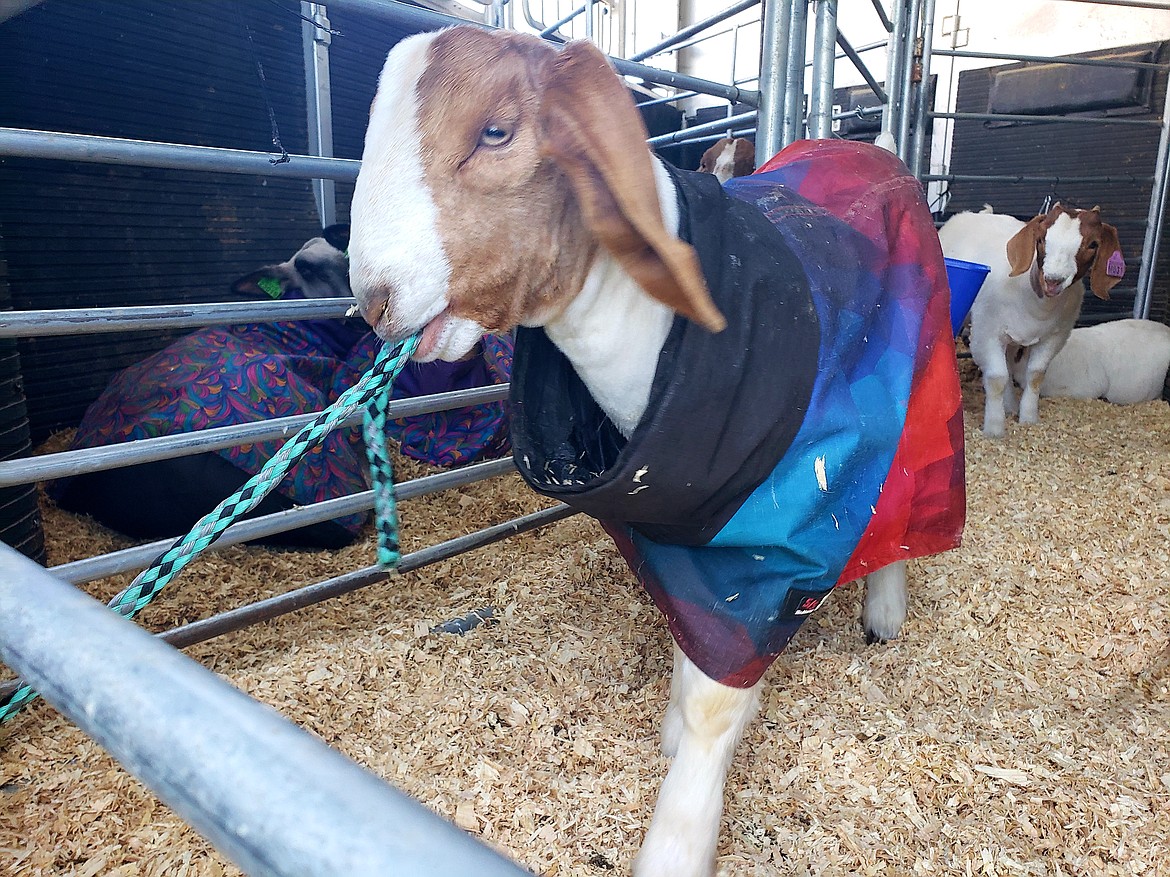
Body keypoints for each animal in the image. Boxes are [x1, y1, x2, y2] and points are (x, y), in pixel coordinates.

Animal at [931, 205, 1123, 439]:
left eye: (1093, 244)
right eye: (1041, 239)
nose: (1053, 280)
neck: (1036, 302)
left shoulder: (1054, 337)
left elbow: (1035, 375)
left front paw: (1028, 418)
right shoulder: (987, 332)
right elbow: (996, 378)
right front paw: (994, 429)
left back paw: (1010, 405)